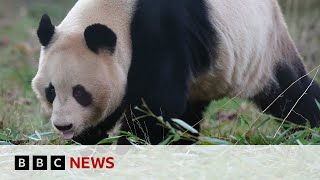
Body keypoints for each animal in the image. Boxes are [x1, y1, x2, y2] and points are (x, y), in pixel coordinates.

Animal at [31, 0, 320, 144]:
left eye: (81, 92)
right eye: (51, 91)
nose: (63, 125)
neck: (120, 13)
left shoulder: (162, 29)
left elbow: (157, 104)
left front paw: (134, 147)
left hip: (263, 49)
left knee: (293, 97)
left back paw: (308, 132)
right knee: (189, 113)